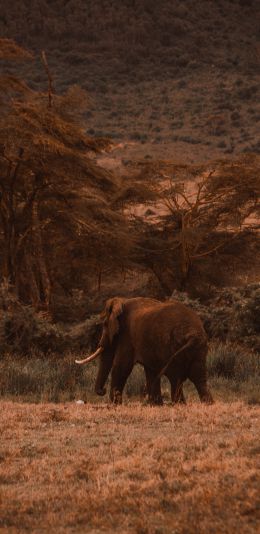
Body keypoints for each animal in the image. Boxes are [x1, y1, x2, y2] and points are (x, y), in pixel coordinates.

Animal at [75, 298, 213, 406]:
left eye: (104, 324)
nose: (102, 390)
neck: (122, 301)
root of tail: (193, 334)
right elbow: (150, 370)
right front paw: (156, 405)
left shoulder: (127, 335)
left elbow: (122, 366)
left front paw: (115, 404)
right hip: (198, 349)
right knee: (199, 377)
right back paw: (207, 404)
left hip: (175, 345)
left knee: (176, 377)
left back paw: (179, 404)